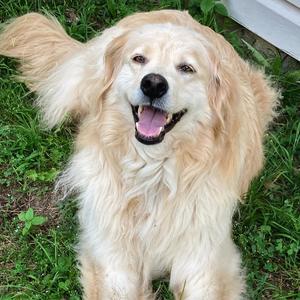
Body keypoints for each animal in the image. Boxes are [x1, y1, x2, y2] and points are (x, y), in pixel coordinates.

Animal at [0, 9, 278, 300]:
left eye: (187, 68)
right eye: (139, 59)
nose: (153, 84)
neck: (153, 172)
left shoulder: (203, 261)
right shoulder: (114, 258)